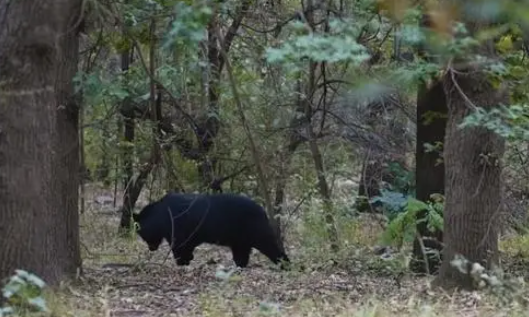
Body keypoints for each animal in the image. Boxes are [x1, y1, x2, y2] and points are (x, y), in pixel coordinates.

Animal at [132, 191, 288, 268]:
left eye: (142, 234)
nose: (151, 248)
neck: (162, 216)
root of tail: (262, 210)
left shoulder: (178, 226)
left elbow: (179, 244)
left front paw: (182, 261)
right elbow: (188, 245)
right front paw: (188, 259)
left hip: (254, 228)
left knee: (269, 244)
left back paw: (285, 264)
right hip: (239, 238)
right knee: (241, 252)